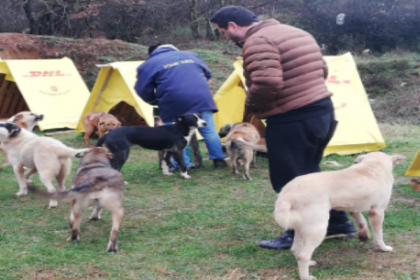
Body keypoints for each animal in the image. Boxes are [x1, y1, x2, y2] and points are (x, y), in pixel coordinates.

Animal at [274, 152, 406, 280]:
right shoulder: (377, 212)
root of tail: (287, 193)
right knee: (303, 256)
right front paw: (383, 248)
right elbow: (379, 235)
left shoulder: (353, 209)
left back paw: (309, 263)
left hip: (302, 229)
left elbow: (362, 221)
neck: (372, 165)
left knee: (296, 249)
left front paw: (364, 235)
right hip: (318, 229)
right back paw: (306, 277)